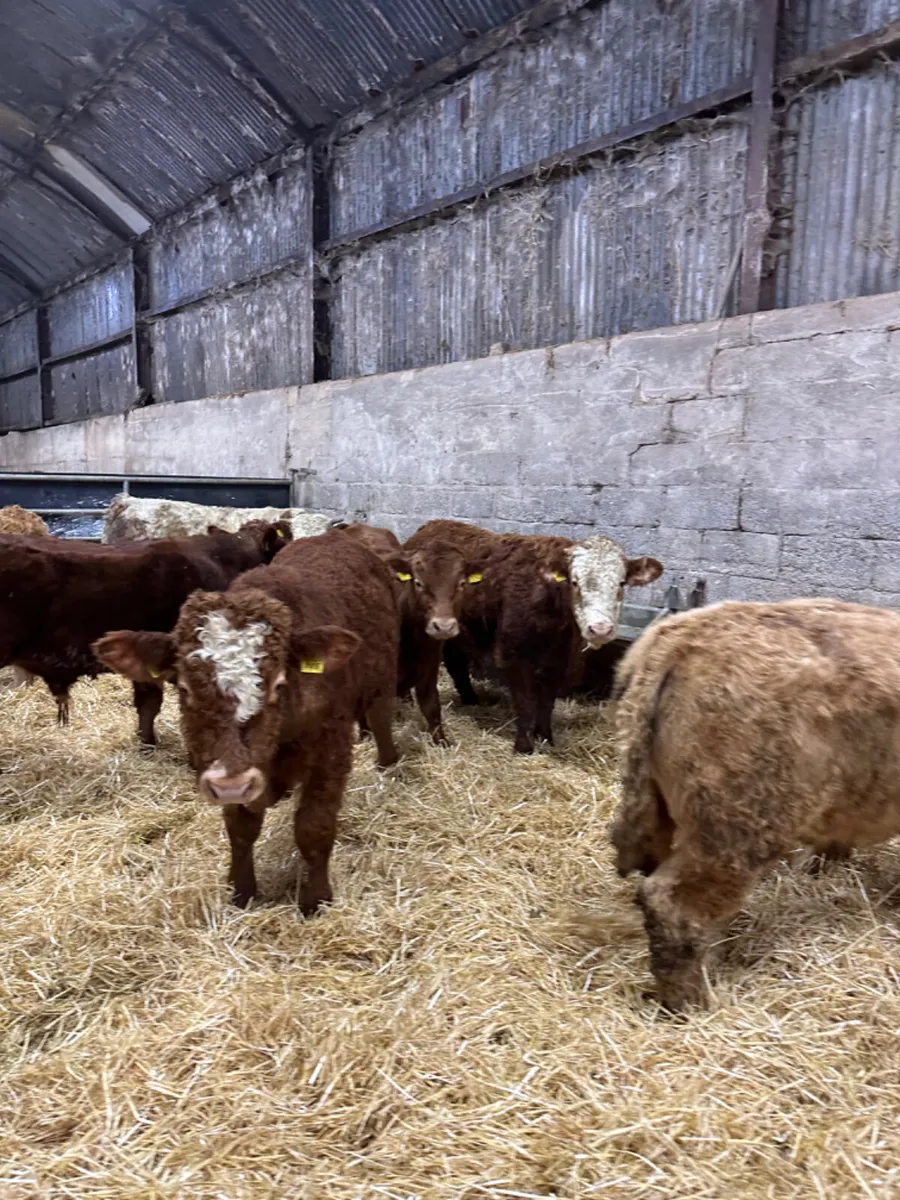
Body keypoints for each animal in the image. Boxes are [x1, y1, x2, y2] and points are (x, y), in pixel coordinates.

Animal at [94, 530, 400, 912]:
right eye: (184, 687)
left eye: (279, 684)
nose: (232, 786)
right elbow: (240, 829)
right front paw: (241, 891)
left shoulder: (331, 752)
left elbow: (313, 827)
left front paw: (315, 899)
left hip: (382, 678)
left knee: (381, 717)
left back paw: (389, 764)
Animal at [407, 520, 662, 753]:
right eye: (574, 582)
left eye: (621, 583)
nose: (600, 629)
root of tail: (432, 525)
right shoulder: (513, 653)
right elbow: (526, 701)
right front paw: (524, 745)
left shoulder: (560, 659)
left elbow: (547, 701)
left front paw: (546, 737)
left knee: (456, 662)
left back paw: (470, 698)